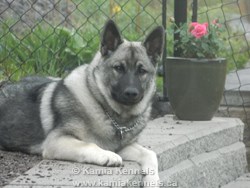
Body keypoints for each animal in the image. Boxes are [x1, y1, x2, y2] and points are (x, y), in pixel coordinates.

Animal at [0, 19, 164, 187]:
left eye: (142, 71)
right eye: (118, 68)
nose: (131, 93)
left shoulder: (124, 147)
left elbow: (150, 153)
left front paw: (152, 179)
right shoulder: (56, 141)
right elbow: (89, 144)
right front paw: (108, 156)